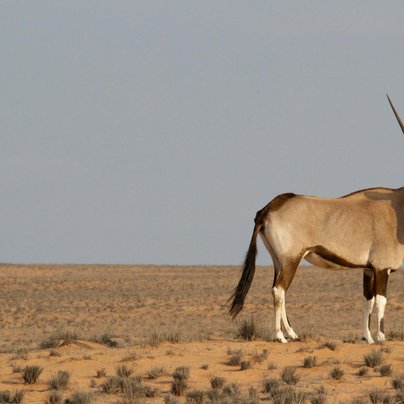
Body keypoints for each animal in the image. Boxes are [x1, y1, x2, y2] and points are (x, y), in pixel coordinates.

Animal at [230, 95, 404, 344]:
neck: (398, 206)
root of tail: (268, 208)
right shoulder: (382, 268)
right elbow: (381, 302)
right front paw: (381, 338)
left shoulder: (368, 270)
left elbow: (367, 302)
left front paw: (368, 338)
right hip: (292, 259)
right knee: (279, 290)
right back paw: (281, 336)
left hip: (279, 260)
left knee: (278, 289)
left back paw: (292, 333)